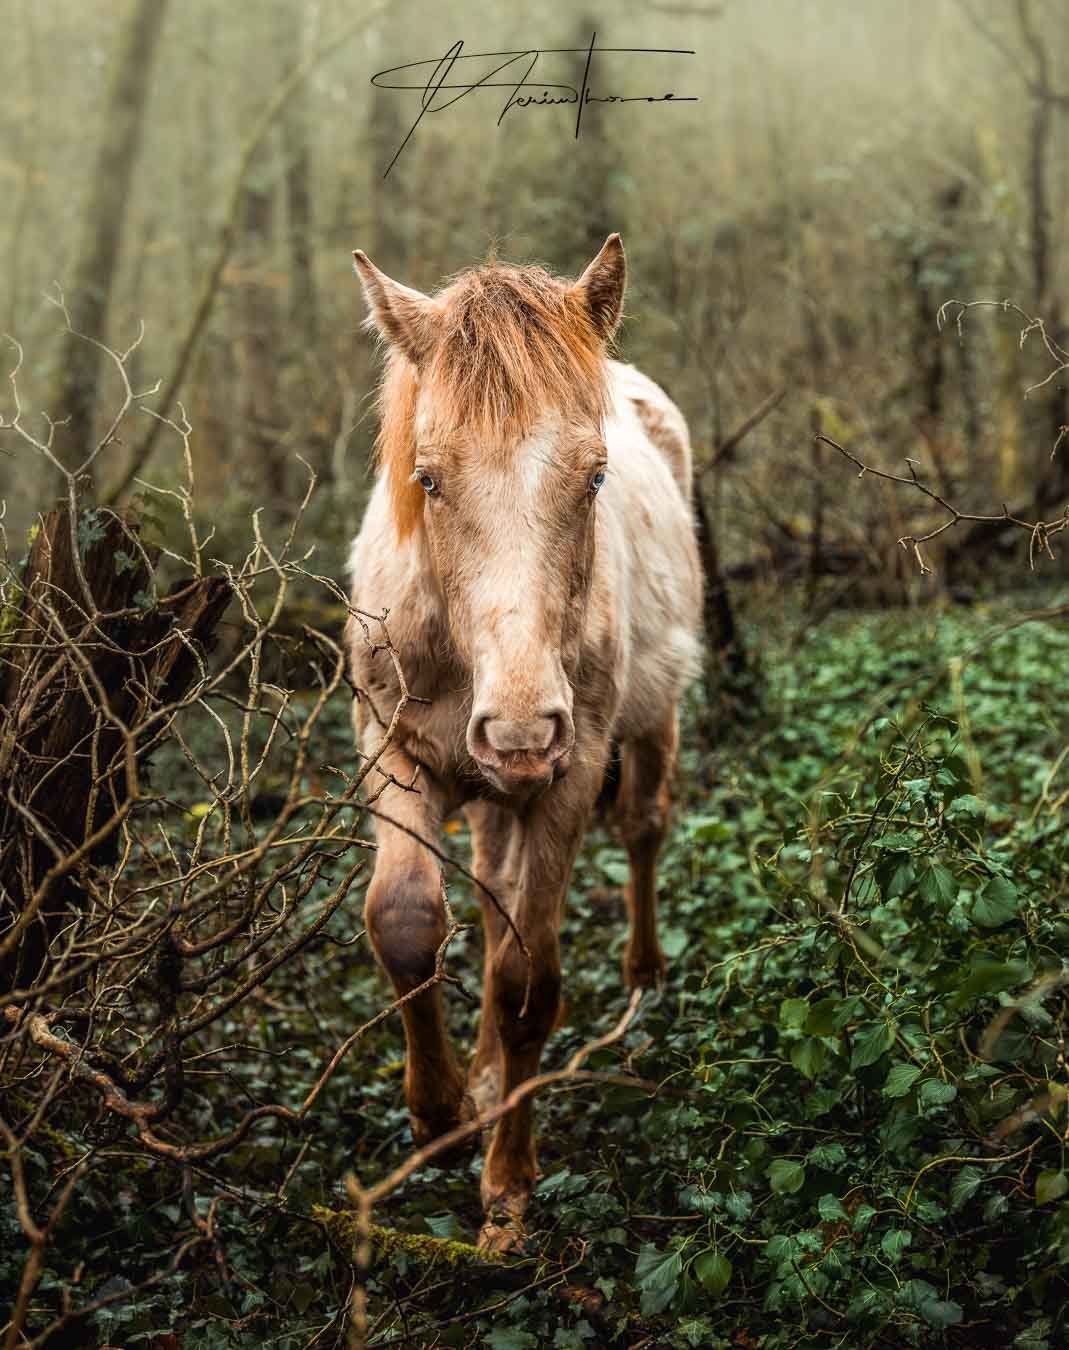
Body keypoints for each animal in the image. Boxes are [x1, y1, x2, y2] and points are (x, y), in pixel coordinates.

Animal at [346, 234, 702, 1251]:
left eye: (594, 477)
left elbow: (525, 981)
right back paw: (478, 1077)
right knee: (487, 889)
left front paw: (507, 1184)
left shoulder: (566, 778)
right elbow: (408, 921)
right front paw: (436, 1112)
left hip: (645, 724)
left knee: (642, 829)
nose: (517, 731)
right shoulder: (389, 750)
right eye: (428, 478)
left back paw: (642, 974)